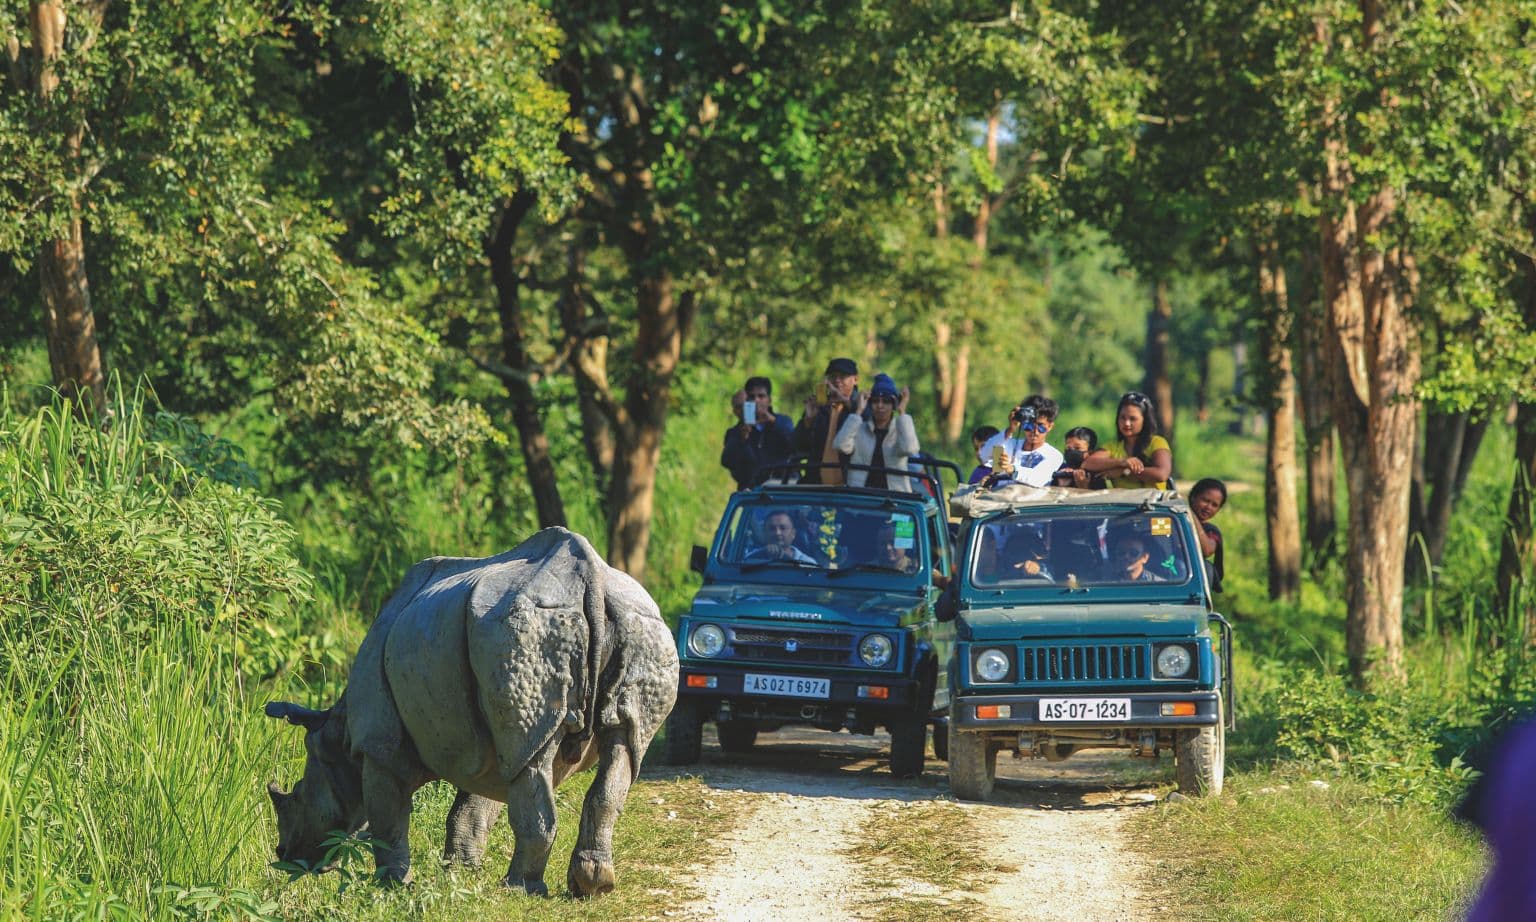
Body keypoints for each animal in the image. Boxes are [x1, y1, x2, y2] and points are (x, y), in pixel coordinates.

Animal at [264, 527, 678, 896]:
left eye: (298, 793)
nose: (284, 855)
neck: (338, 732)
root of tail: (591, 579)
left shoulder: (378, 746)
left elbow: (388, 821)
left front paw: (392, 887)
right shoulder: (490, 745)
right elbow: (475, 809)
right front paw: (462, 875)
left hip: (525, 634)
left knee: (534, 763)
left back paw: (520, 889)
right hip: (639, 627)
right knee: (620, 745)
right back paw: (593, 886)